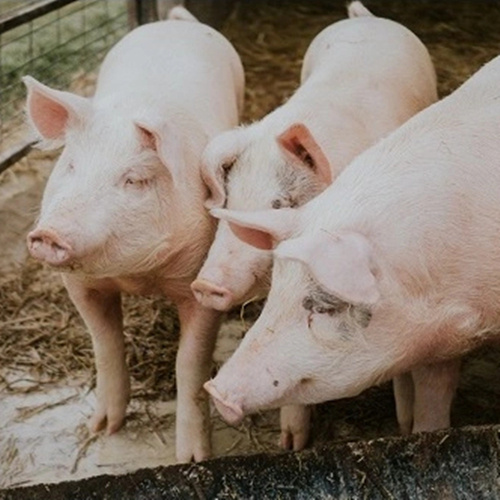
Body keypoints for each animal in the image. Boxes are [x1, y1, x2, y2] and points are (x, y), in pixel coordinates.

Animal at [23, 5, 244, 462]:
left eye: (135, 180)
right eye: (70, 165)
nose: (50, 233)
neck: (137, 276)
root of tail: (173, 22)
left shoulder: (202, 280)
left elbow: (190, 364)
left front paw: (192, 458)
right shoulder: (79, 284)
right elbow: (105, 344)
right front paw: (103, 429)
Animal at [192, 0, 450, 446]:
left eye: (279, 203)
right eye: (230, 200)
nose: (205, 285)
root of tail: (364, 18)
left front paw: (403, 426)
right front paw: (290, 444)